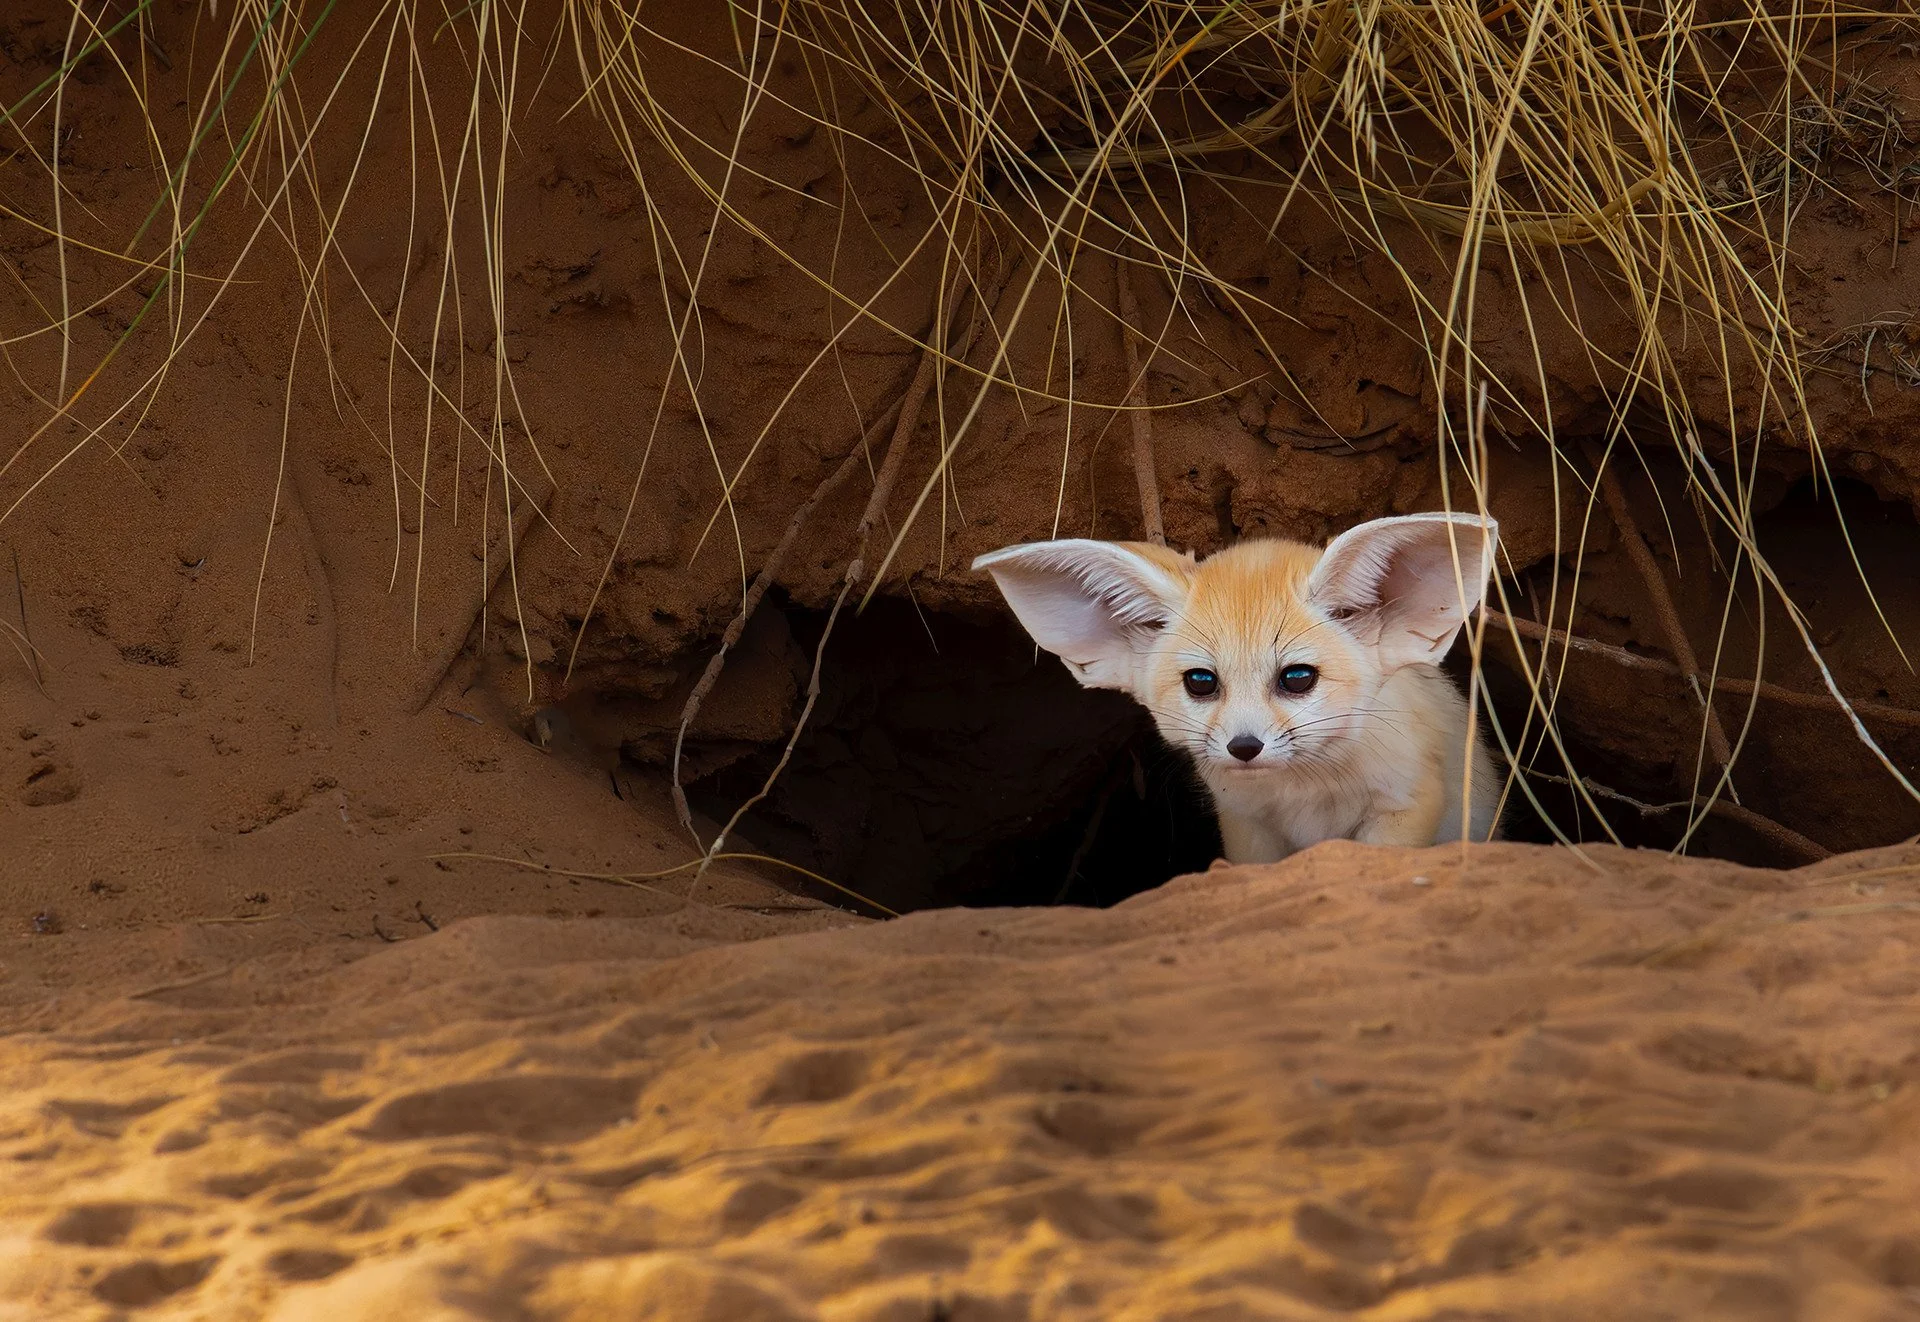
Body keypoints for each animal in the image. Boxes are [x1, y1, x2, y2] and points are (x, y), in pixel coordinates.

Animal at [972, 513, 1504, 865]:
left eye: (1297, 678)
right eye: (1201, 682)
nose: (1244, 747)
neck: (1304, 792)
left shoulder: (1406, 803)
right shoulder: (1247, 823)